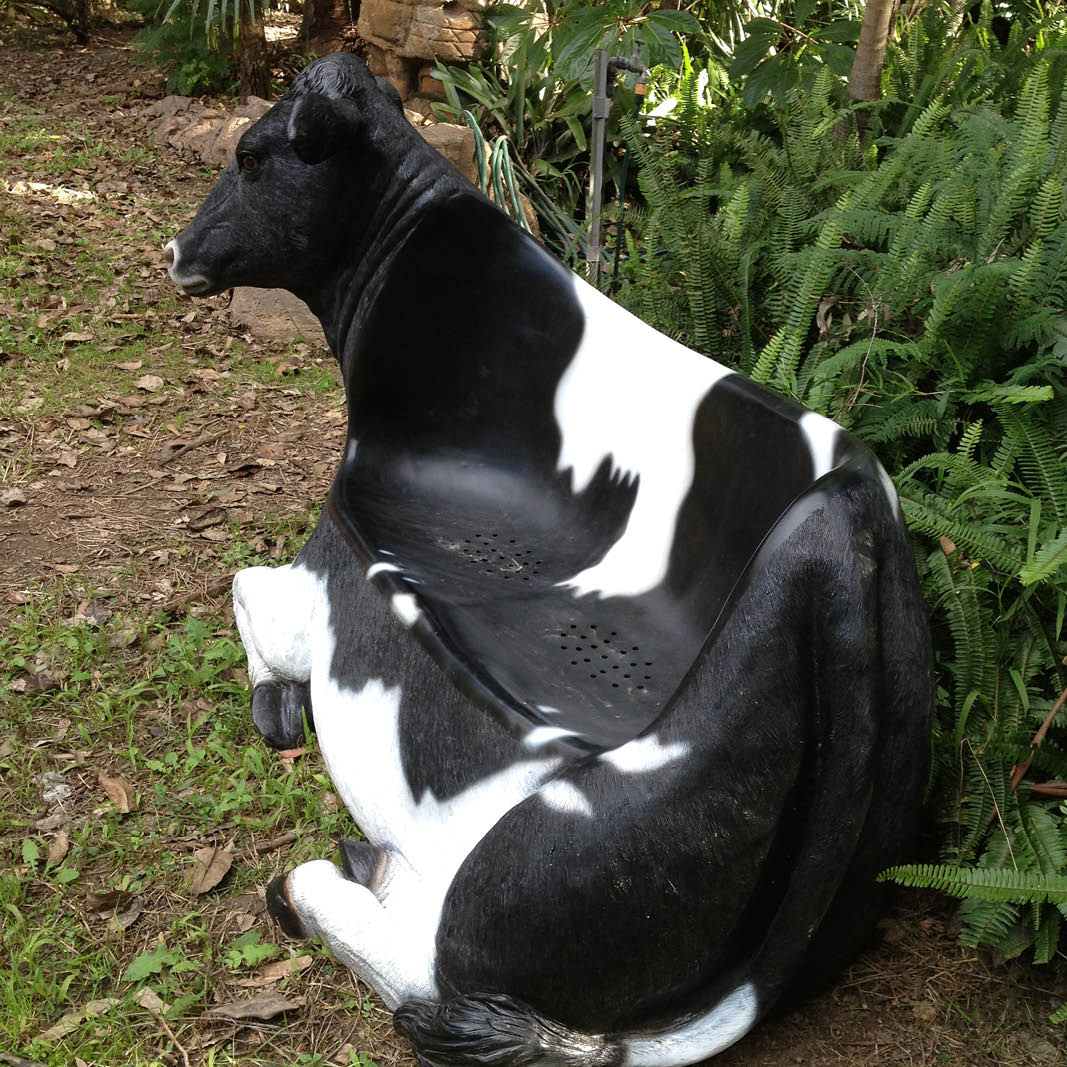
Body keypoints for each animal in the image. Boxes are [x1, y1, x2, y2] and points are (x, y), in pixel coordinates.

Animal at [165, 53, 932, 1067]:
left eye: (252, 154)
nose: (176, 248)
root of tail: (848, 533)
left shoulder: (328, 563)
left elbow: (245, 587)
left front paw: (273, 706)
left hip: (515, 876)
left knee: (444, 983)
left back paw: (320, 886)